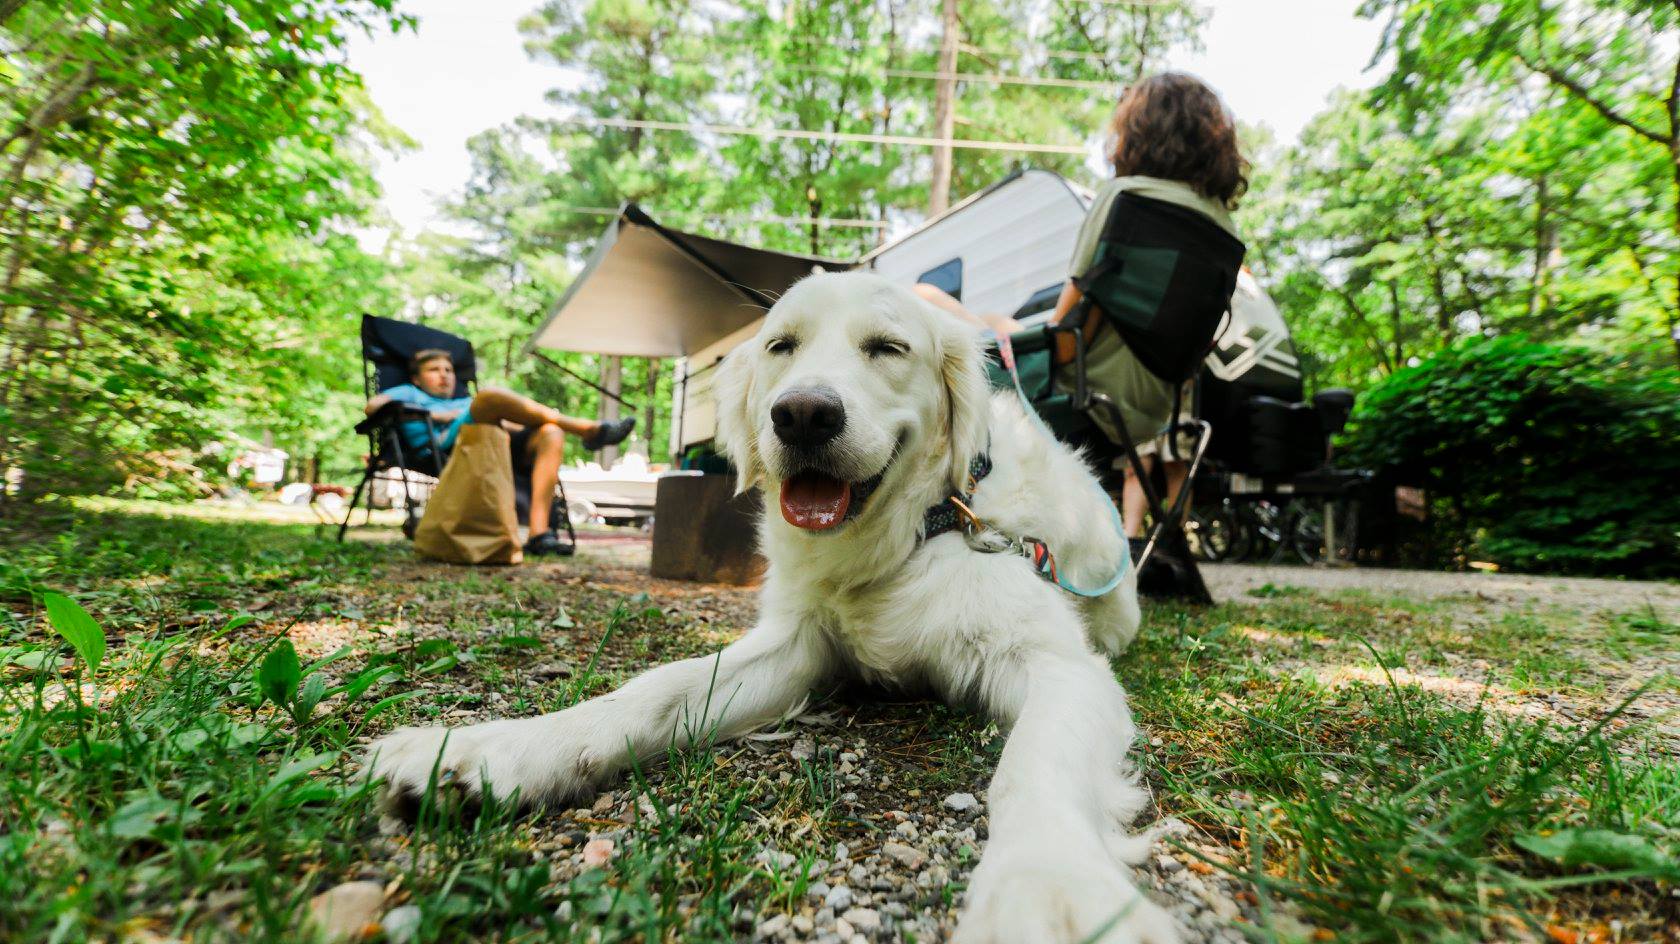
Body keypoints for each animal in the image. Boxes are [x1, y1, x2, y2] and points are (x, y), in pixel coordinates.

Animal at [367, 272, 1182, 940]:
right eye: (780, 346)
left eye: (888, 347)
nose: (803, 415)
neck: (912, 531)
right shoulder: (795, 646)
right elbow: (655, 690)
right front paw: (495, 750)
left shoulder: (1059, 665)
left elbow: (1031, 768)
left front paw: (1047, 892)